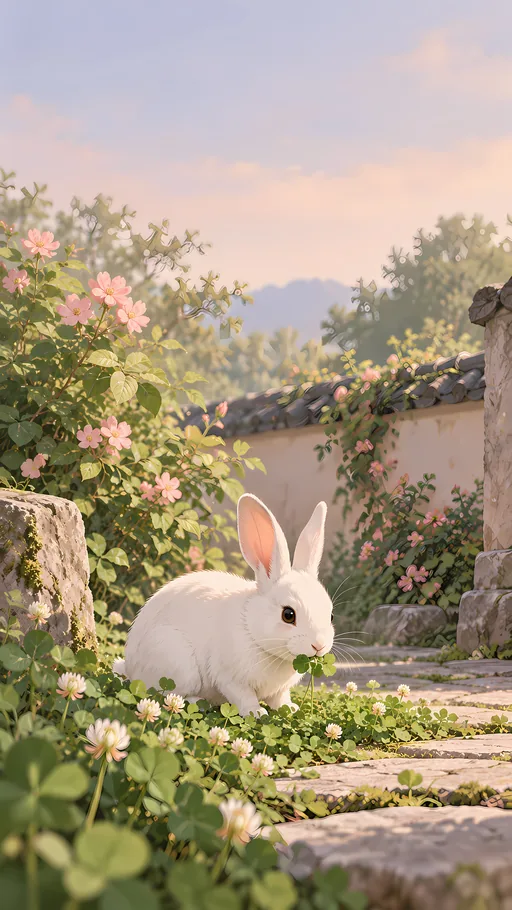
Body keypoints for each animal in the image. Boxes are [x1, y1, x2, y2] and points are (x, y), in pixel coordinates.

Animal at [113, 493, 335, 717]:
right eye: (288, 615)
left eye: (331, 615)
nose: (319, 645)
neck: (252, 630)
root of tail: (130, 665)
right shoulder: (230, 678)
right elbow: (244, 697)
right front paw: (257, 713)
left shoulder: (279, 691)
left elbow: (280, 699)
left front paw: (291, 709)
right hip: (176, 660)